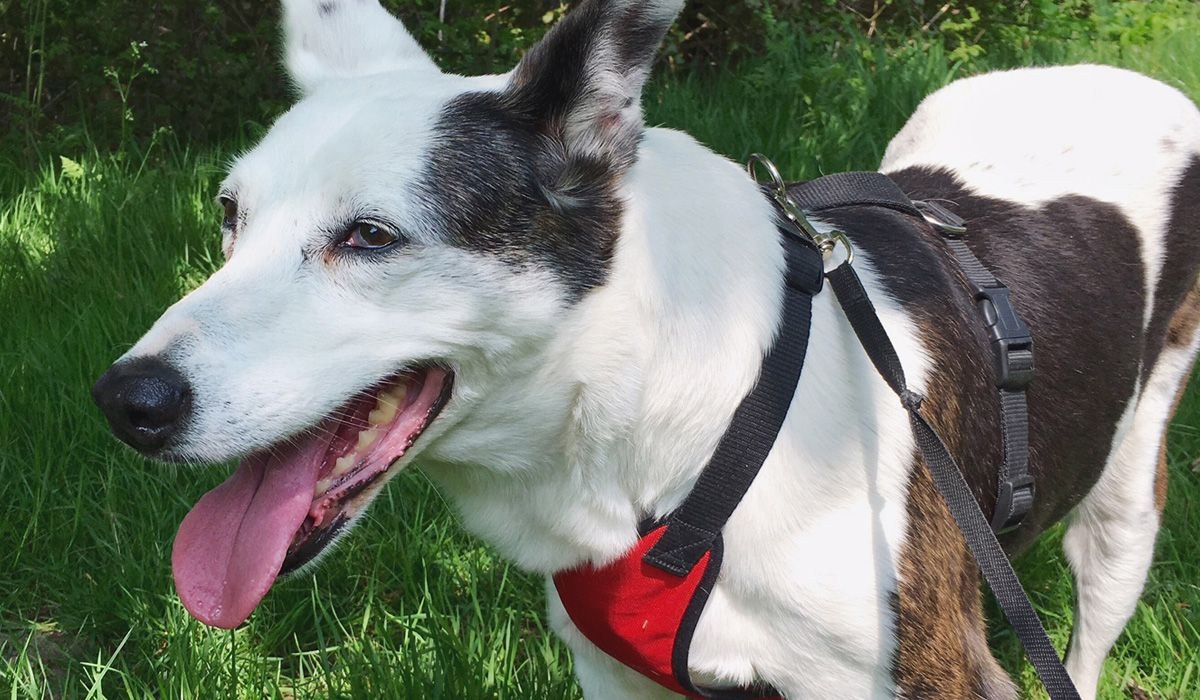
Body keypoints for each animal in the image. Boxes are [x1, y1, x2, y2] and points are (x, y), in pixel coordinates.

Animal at [93, 1, 1200, 696]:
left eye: (370, 236)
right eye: (230, 215)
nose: (128, 401)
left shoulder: (945, 674)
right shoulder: (618, 676)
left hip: (1124, 509)